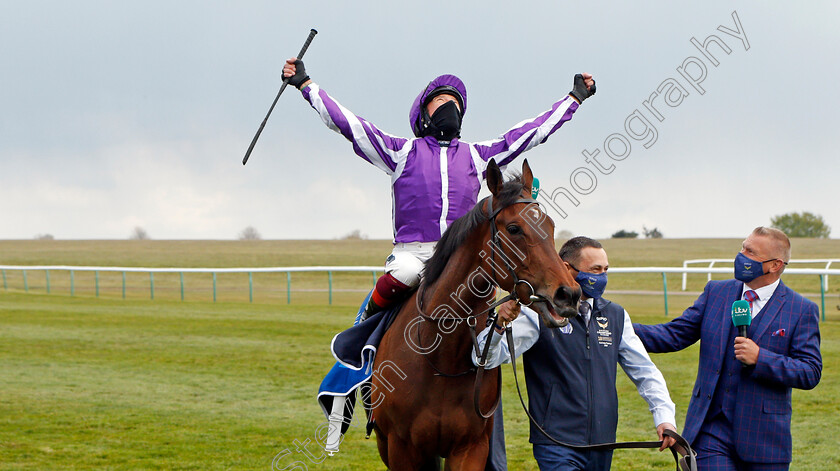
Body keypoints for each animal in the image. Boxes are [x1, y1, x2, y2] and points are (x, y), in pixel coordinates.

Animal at [370, 160, 580, 470]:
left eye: (550, 225)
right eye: (514, 228)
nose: (569, 294)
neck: (441, 357)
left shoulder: (472, 447)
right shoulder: (401, 448)